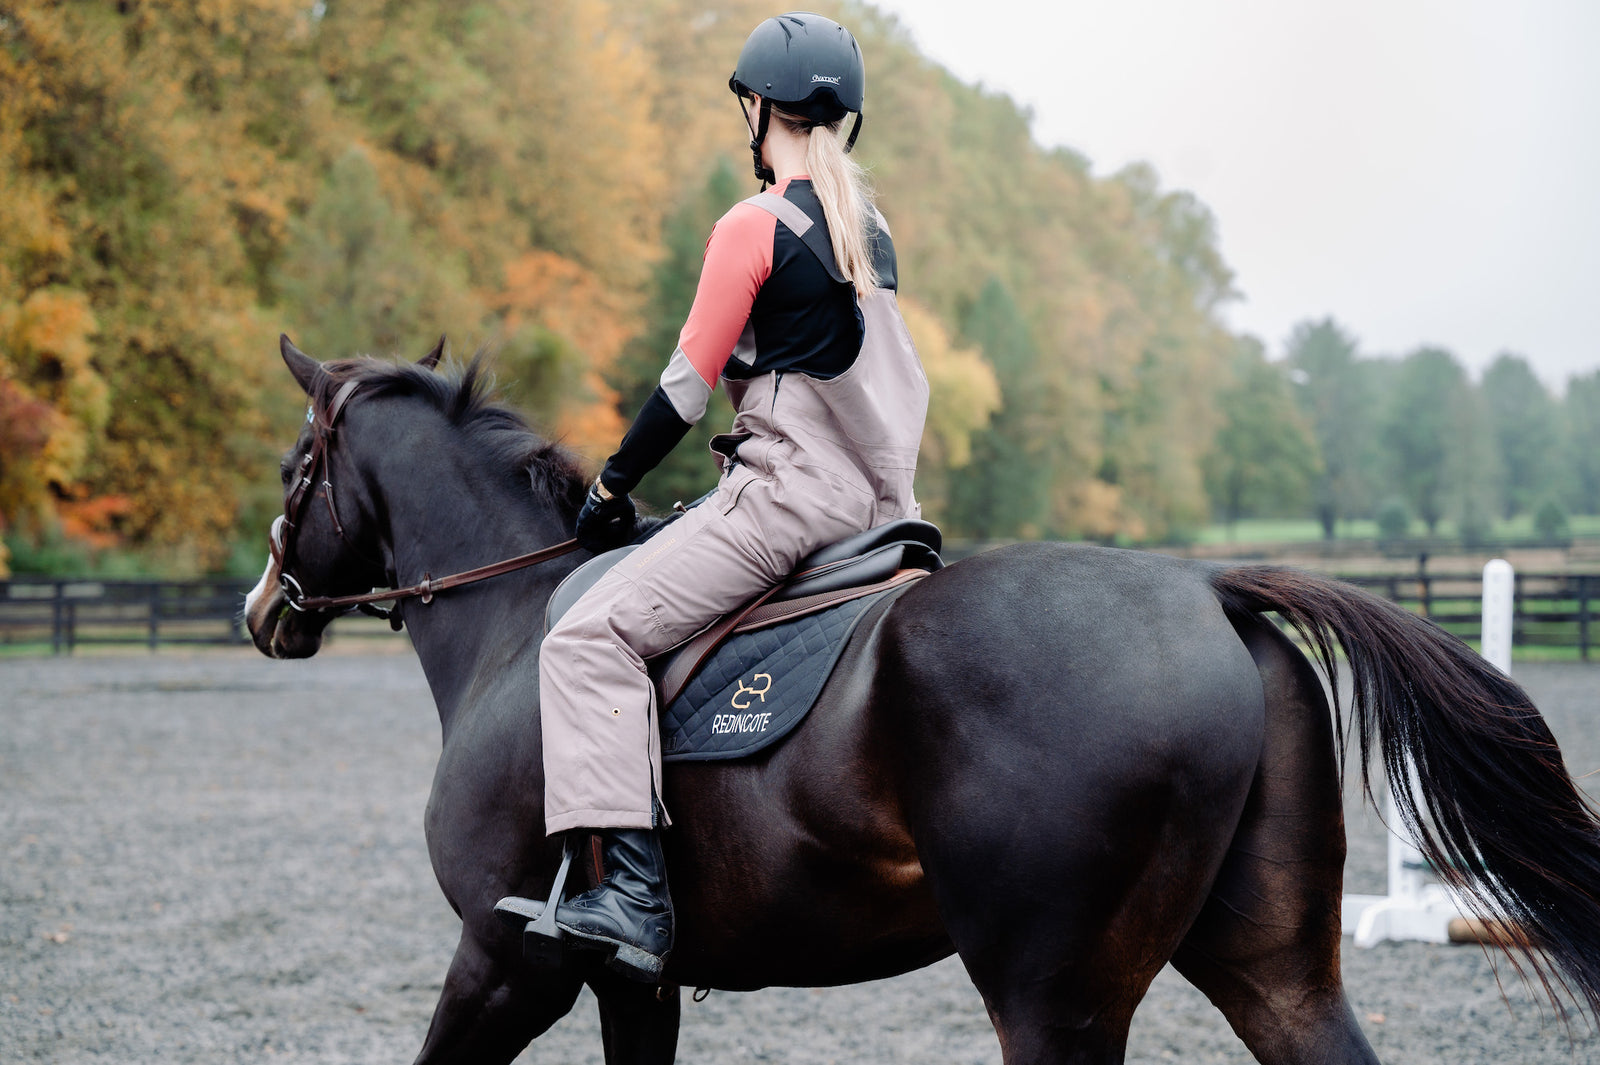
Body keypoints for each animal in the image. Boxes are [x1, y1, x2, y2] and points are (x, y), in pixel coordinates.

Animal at [243, 335, 1600, 1055]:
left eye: (295, 461)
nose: (264, 610)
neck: (520, 615)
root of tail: (1204, 587)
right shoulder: (636, 981)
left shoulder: (504, 957)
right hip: (1270, 970)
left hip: (1051, 1000)